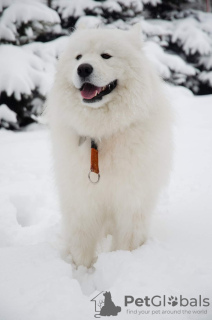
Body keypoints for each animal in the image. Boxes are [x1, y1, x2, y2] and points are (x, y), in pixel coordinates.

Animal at [46, 23, 172, 268]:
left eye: (106, 55)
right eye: (78, 57)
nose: (83, 68)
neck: (102, 132)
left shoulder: (131, 201)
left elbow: (127, 242)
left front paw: (121, 263)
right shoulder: (82, 200)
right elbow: (81, 246)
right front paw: (81, 271)